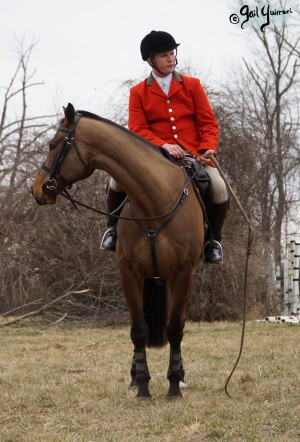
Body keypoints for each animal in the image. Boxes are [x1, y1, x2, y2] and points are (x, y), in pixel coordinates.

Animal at [31, 102, 205, 398]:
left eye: (53, 144)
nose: (37, 188)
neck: (155, 200)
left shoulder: (182, 274)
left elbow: (174, 330)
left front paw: (173, 385)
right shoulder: (129, 272)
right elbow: (138, 330)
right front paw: (143, 386)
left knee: (178, 323)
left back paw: (180, 377)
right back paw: (136, 377)